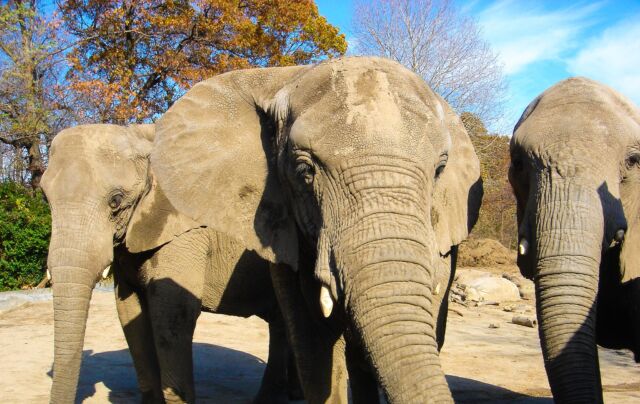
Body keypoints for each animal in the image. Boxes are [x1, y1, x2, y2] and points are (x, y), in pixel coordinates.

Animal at [40, 124, 300, 402]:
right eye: (45, 199)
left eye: (115, 201)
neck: (144, 137)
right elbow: (130, 313)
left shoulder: (186, 231)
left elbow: (172, 314)